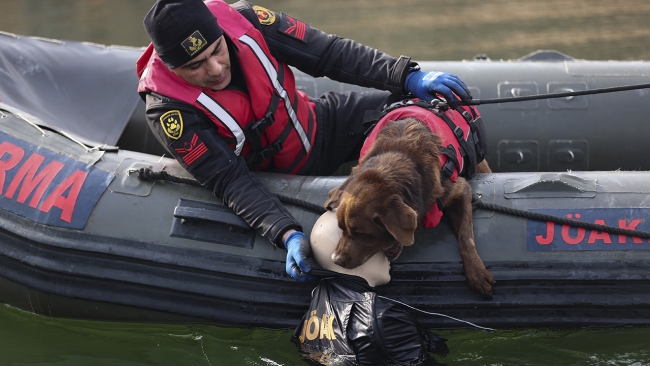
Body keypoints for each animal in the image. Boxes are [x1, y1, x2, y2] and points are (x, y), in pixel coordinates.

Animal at [326, 116, 494, 298]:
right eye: (340, 228)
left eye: (363, 234)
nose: (335, 259)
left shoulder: (461, 190)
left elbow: (466, 236)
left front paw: (476, 272)